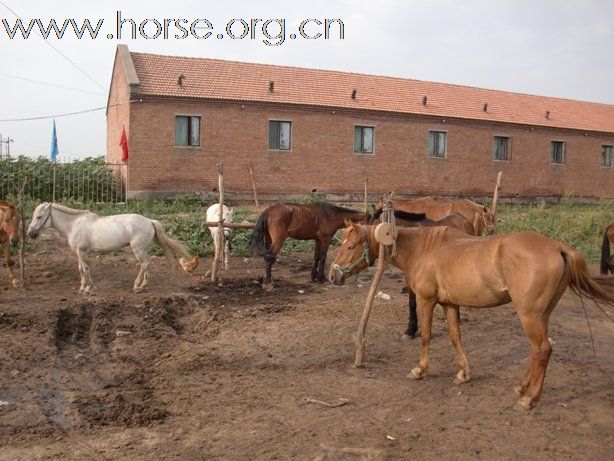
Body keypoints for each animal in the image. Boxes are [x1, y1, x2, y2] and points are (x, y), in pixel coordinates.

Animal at [27, 202, 197, 294]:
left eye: (39, 217)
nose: (30, 233)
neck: (74, 225)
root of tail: (149, 221)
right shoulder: (80, 253)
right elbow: (82, 269)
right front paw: (83, 287)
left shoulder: (81, 252)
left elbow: (85, 269)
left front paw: (87, 289)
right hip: (143, 249)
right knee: (146, 265)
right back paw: (143, 285)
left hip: (138, 250)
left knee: (144, 264)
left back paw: (138, 286)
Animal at [332, 221, 614, 408]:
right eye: (341, 244)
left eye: (352, 246)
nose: (333, 276)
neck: (424, 249)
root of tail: (556, 247)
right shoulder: (449, 304)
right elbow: (456, 337)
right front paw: (463, 374)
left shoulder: (426, 301)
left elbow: (425, 336)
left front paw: (420, 370)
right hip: (541, 315)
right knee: (538, 351)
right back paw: (522, 387)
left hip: (529, 315)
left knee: (542, 349)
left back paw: (529, 398)